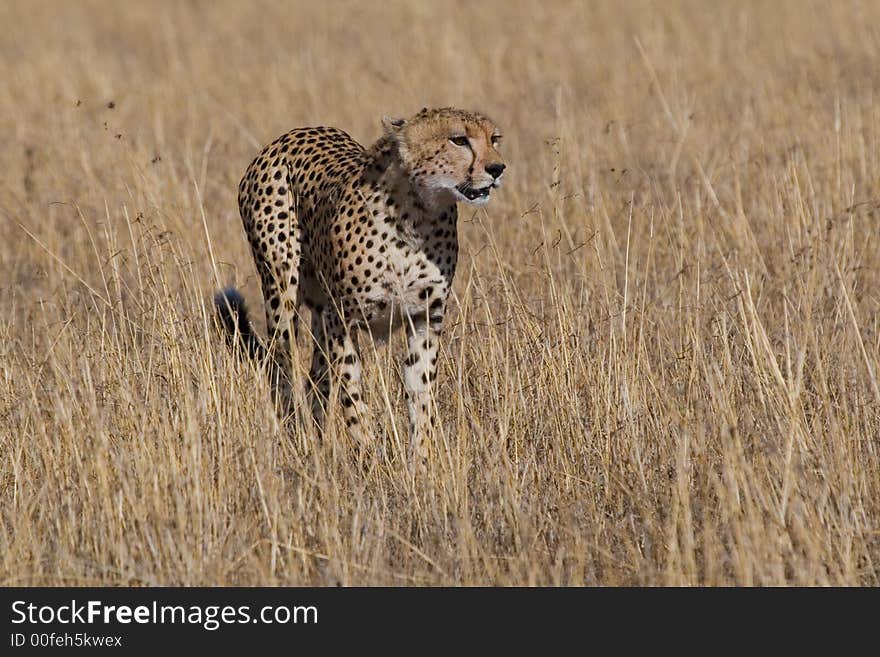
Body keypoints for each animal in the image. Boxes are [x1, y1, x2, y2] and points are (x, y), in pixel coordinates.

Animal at [216, 106, 506, 462]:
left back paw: (319, 440)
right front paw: (369, 455)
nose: (497, 168)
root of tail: (292, 134)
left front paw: (421, 460)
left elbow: (420, 393)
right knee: (281, 367)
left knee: (316, 379)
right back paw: (297, 439)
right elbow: (353, 394)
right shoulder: (342, 319)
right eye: (459, 140)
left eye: (494, 138)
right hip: (281, 290)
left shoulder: (425, 319)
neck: (418, 215)